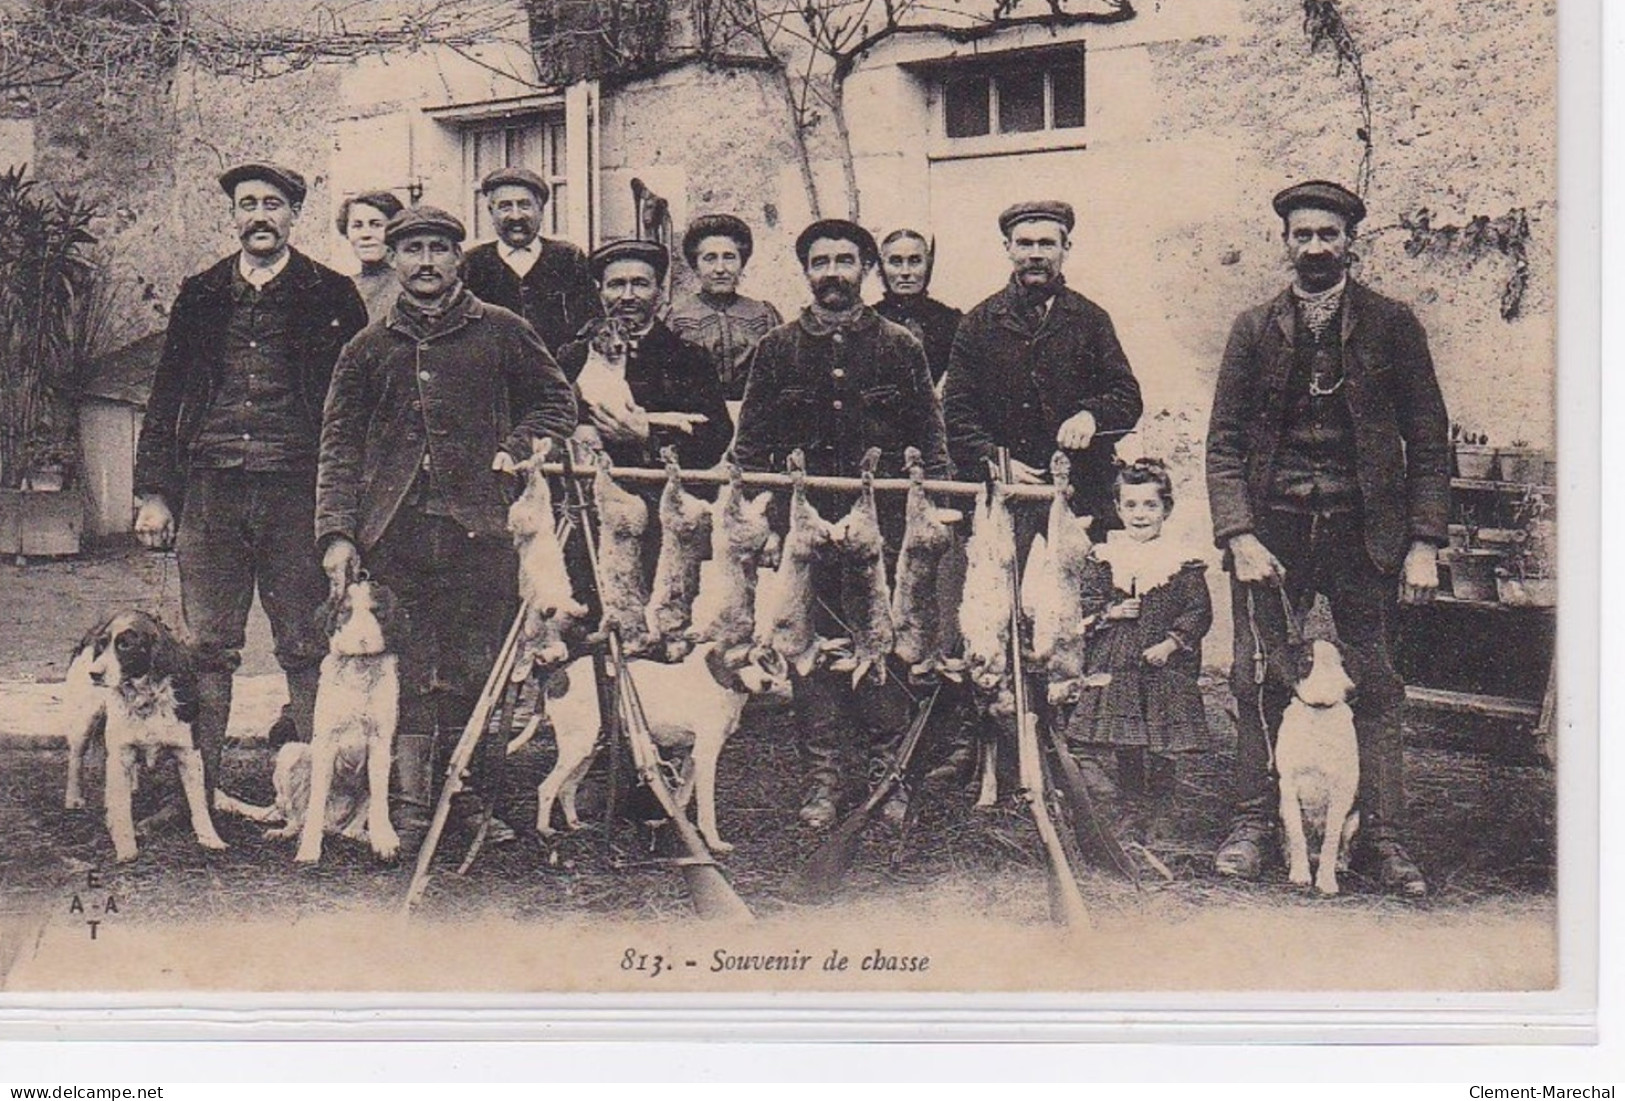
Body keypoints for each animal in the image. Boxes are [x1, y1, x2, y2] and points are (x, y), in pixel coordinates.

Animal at [64, 613, 229, 863]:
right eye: (102, 644)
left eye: (125, 645)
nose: (94, 673)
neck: (146, 698)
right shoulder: (120, 754)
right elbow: (121, 808)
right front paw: (126, 848)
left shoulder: (189, 752)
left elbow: (198, 802)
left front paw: (210, 838)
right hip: (84, 719)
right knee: (76, 758)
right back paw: (73, 798)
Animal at [212, 581, 403, 863]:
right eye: (345, 611)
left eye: (377, 611)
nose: (362, 640)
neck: (359, 670)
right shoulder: (326, 745)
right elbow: (315, 804)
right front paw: (309, 851)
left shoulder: (381, 746)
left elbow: (379, 804)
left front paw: (384, 841)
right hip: (291, 753)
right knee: (296, 818)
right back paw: (286, 832)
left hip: (392, 761)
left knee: (348, 829)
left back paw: (362, 835)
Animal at [1267, 639, 1358, 896]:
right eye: (1308, 661)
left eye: (1341, 662)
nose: (1351, 690)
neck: (1319, 713)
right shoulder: (1288, 787)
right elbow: (1297, 836)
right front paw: (1299, 874)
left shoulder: (1340, 790)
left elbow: (1331, 841)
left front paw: (1326, 881)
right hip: (1280, 810)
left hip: (1354, 819)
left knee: (1342, 845)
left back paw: (1339, 864)